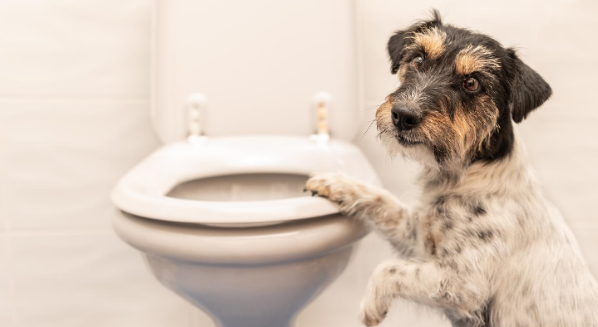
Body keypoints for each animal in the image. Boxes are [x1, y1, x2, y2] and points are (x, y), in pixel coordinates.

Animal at [308, 10, 598, 327]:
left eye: (472, 83)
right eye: (418, 59)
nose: (402, 115)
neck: (465, 176)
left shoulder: (462, 284)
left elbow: (387, 269)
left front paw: (371, 304)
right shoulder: (419, 236)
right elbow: (383, 201)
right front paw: (335, 183)